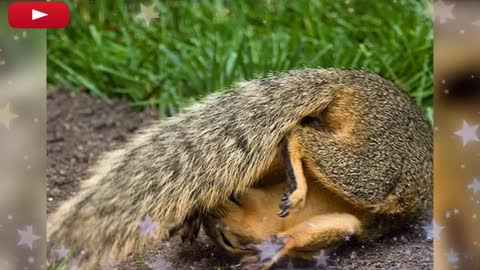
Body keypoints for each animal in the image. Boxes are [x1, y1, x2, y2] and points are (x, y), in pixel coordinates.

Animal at [47, 68, 434, 270]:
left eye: (228, 239)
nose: (213, 221)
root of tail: (351, 81)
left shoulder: (341, 223)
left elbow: (328, 228)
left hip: (372, 164)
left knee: (292, 137)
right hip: (377, 167)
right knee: (297, 134)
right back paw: (294, 189)